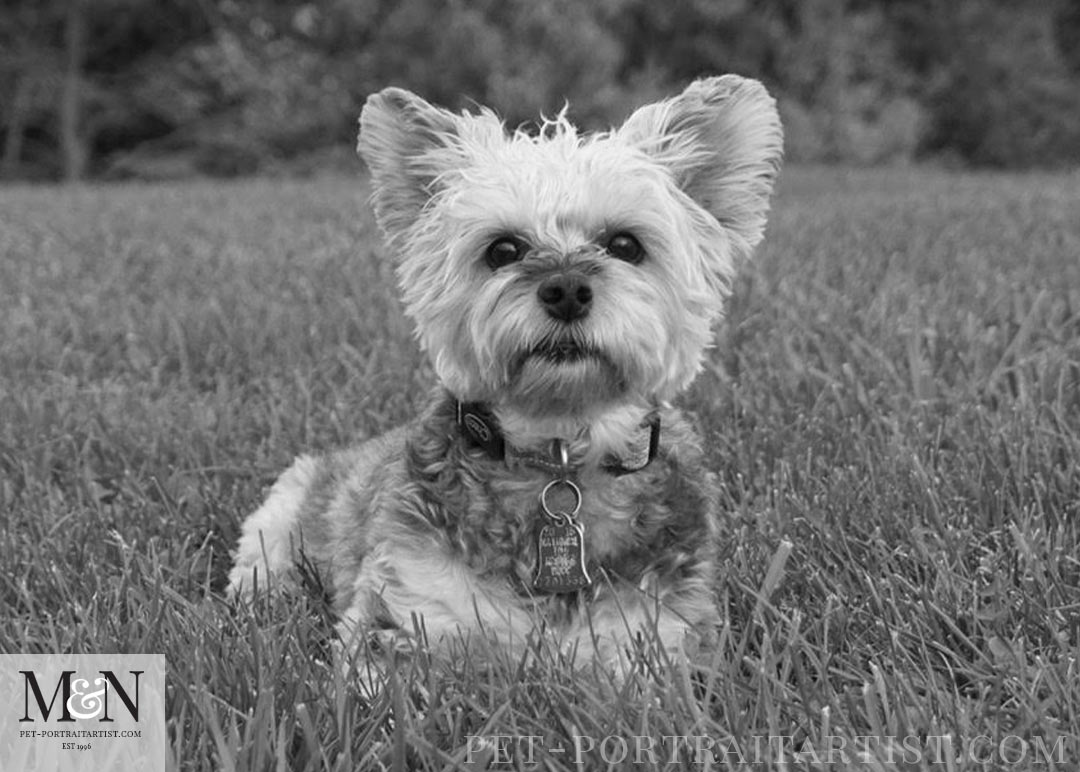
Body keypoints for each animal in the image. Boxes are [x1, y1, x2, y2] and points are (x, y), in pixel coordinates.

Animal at [230, 75, 786, 678]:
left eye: (624, 245)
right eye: (502, 249)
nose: (566, 289)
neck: (558, 454)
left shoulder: (656, 634)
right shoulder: (408, 608)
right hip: (280, 514)